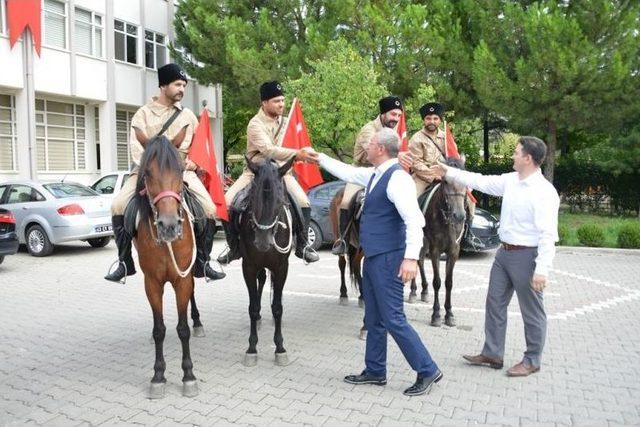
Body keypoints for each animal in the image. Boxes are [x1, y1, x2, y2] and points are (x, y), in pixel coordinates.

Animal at [131, 129, 199, 400]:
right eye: (147, 173)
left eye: (180, 169)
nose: (169, 225)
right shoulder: (152, 283)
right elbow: (159, 329)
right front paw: (158, 376)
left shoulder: (183, 279)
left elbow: (182, 328)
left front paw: (188, 375)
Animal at [240, 155, 298, 366]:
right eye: (252, 197)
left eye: (280, 201)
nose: (263, 242)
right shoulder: (248, 267)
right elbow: (253, 307)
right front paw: (251, 348)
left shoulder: (281, 268)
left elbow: (278, 308)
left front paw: (280, 347)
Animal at [412, 159, 468, 330]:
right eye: (446, 181)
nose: (459, 215)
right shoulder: (435, 250)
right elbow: (437, 282)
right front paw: (436, 315)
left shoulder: (454, 251)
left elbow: (449, 283)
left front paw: (449, 314)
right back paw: (413, 291)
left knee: (420, 260)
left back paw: (423, 291)